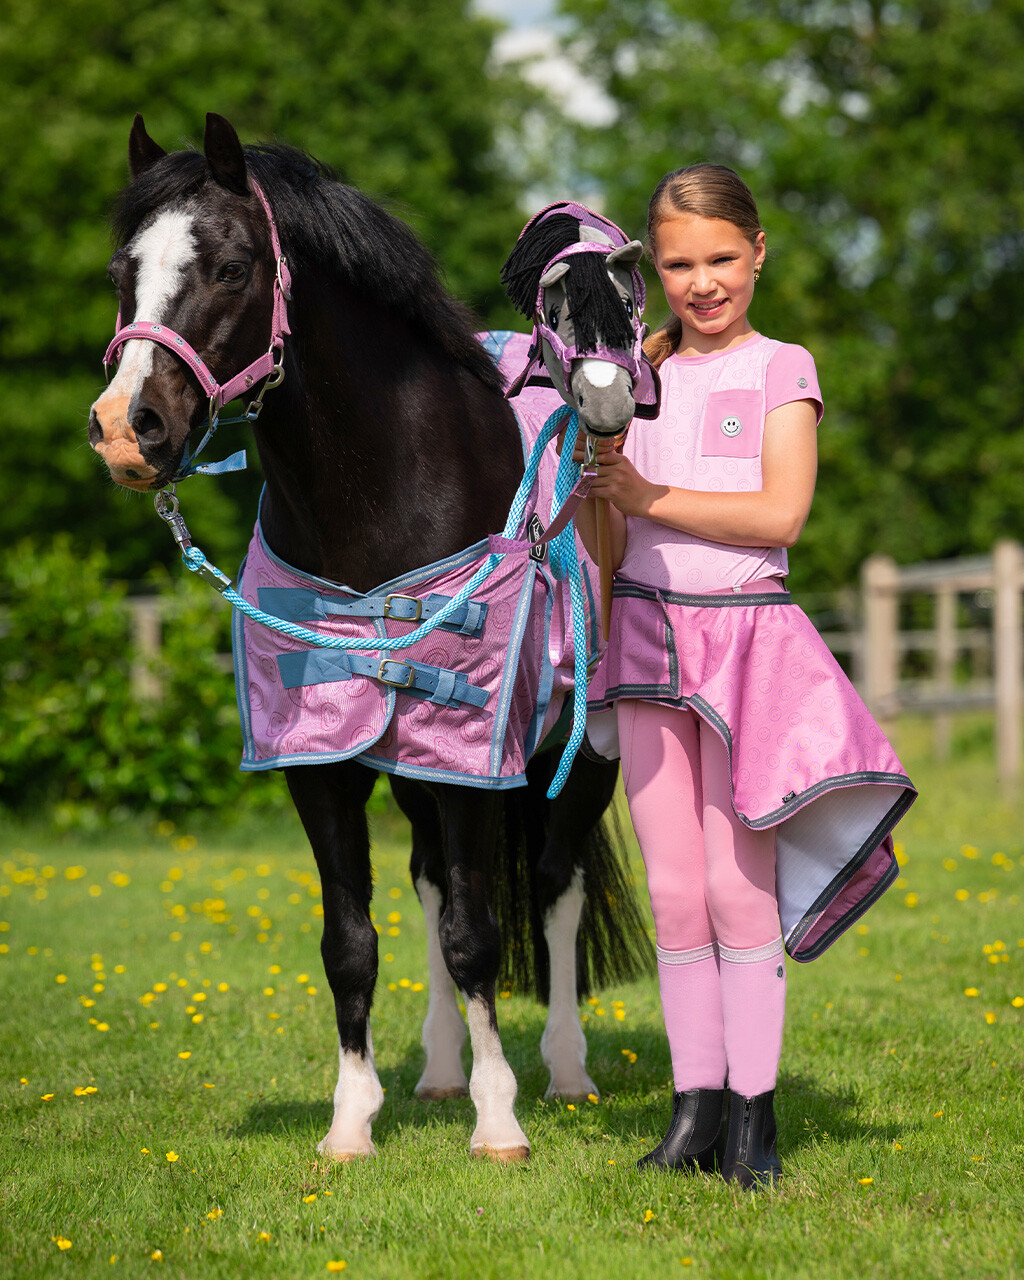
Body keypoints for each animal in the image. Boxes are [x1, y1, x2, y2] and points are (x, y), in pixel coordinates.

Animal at [88, 113, 654, 1162]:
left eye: (231, 267)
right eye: (121, 270)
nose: (124, 429)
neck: (382, 496)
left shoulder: (474, 757)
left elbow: (481, 933)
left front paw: (500, 1122)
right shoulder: (323, 762)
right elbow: (351, 940)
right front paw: (352, 1120)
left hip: (579, 756)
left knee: (553, 889)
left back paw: (564, 1072)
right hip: (412, 767)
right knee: (431, 884)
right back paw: (438, 1071)